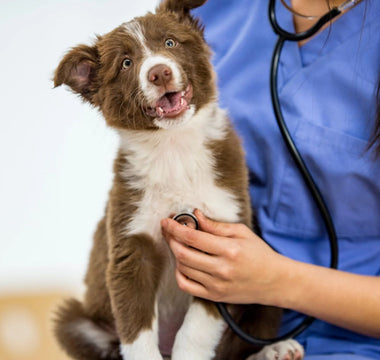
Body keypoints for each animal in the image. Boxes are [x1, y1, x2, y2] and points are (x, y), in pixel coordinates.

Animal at [52, 0, 300, 360]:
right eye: (126, 63)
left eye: (170, 43)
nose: (159, 72)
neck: (173, 148)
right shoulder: (131, 244)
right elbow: (137, 328)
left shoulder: (220, 242)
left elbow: (196, 328)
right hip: (74, 319)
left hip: (265, 285)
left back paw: (275, 348)